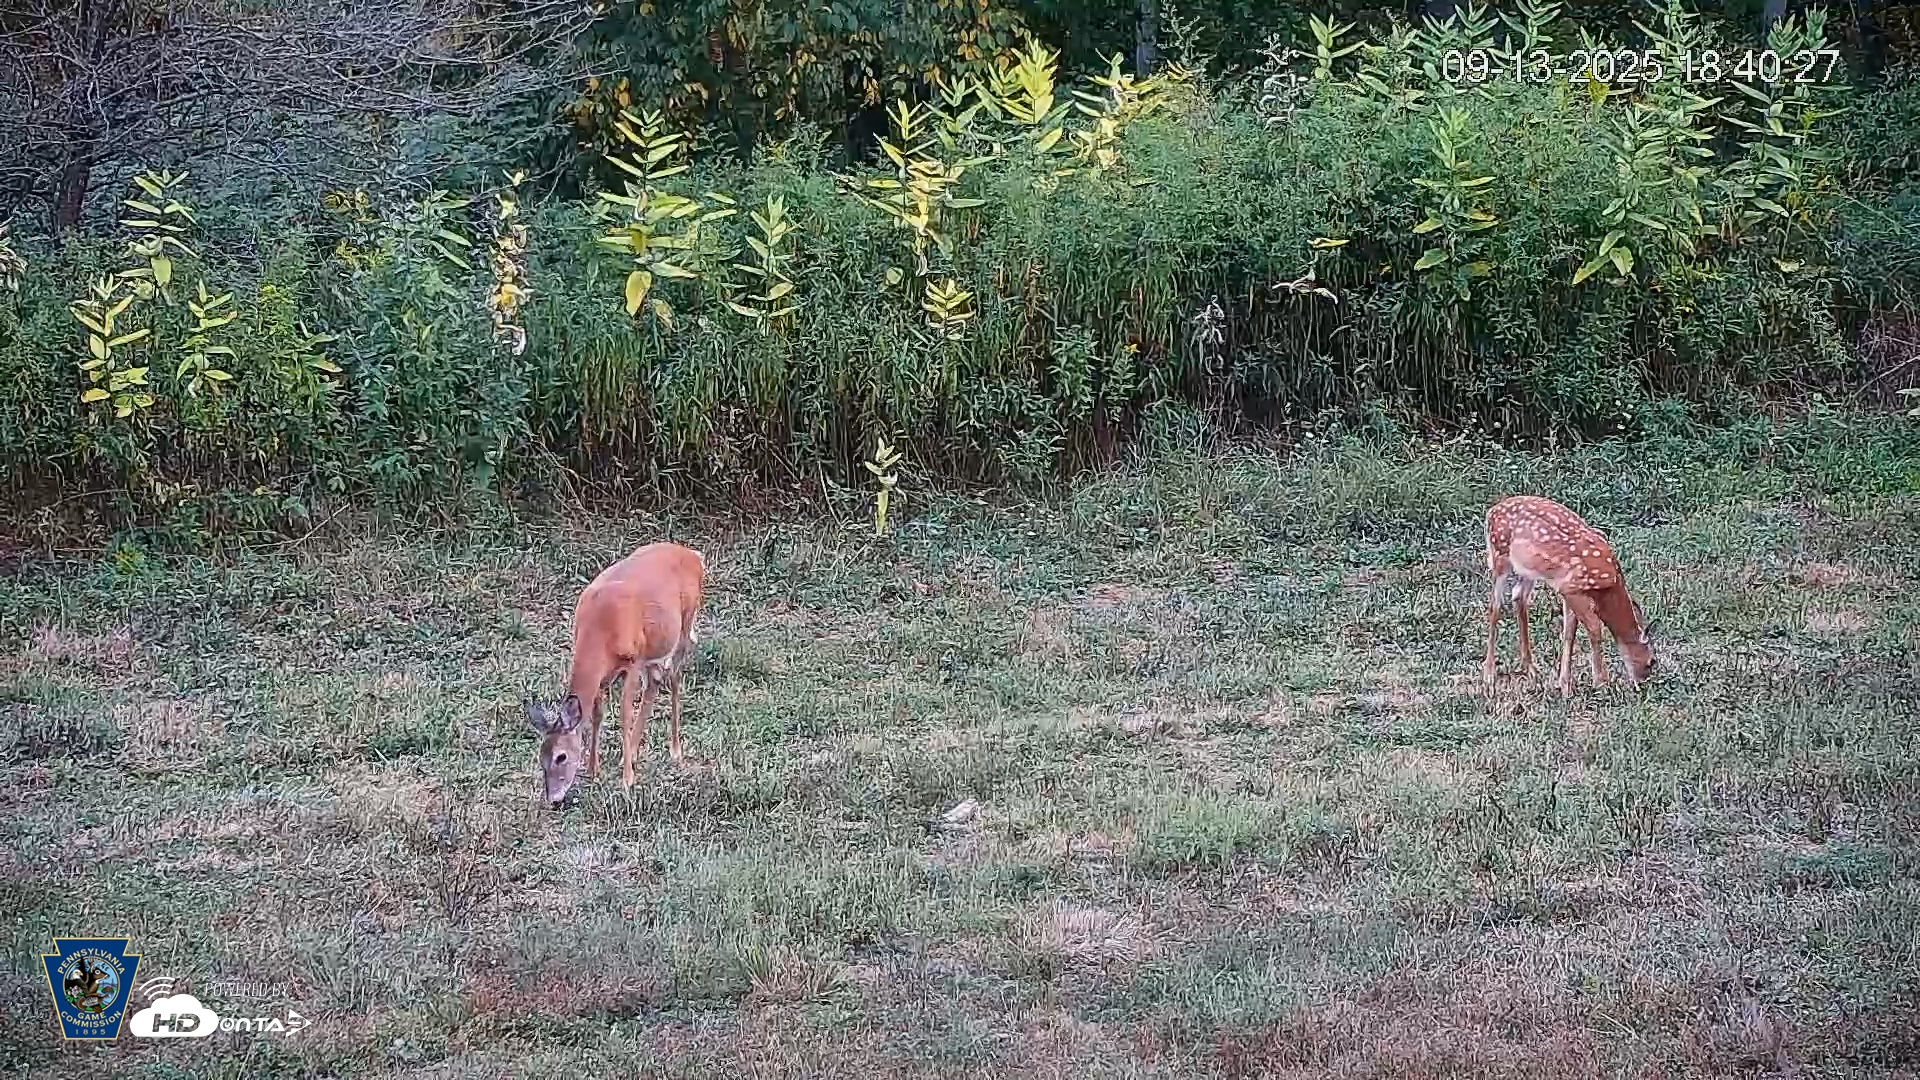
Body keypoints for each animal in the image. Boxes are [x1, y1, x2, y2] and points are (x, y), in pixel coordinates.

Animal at [524, 541, 706, 806]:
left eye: (561, 756)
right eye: (541, 758)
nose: (553, 799)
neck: (600, 631)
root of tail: (694, 555)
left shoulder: (632, 661)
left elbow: (624, 715)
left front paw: (627, 779)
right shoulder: (604, 674)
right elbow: (597, 714)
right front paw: (593, 769)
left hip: (684, 622)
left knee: (674, 676)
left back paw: (674, 750)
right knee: (656, 681)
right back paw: (633, 754)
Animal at [1481, 495, 1658, 699]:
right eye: (1652, 661)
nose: (1642, 685)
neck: (1608, 585)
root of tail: (1490, 512)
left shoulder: (1568, 593)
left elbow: (1568, 633)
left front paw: (1565, 685)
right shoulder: (1571, 588)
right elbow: (1594, 629)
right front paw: (1601, 683)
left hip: (1528, 569)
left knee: (1518, 597)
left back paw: (1531, 670)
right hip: (1500, 555)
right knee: (1495, 606)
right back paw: (1489, 676)